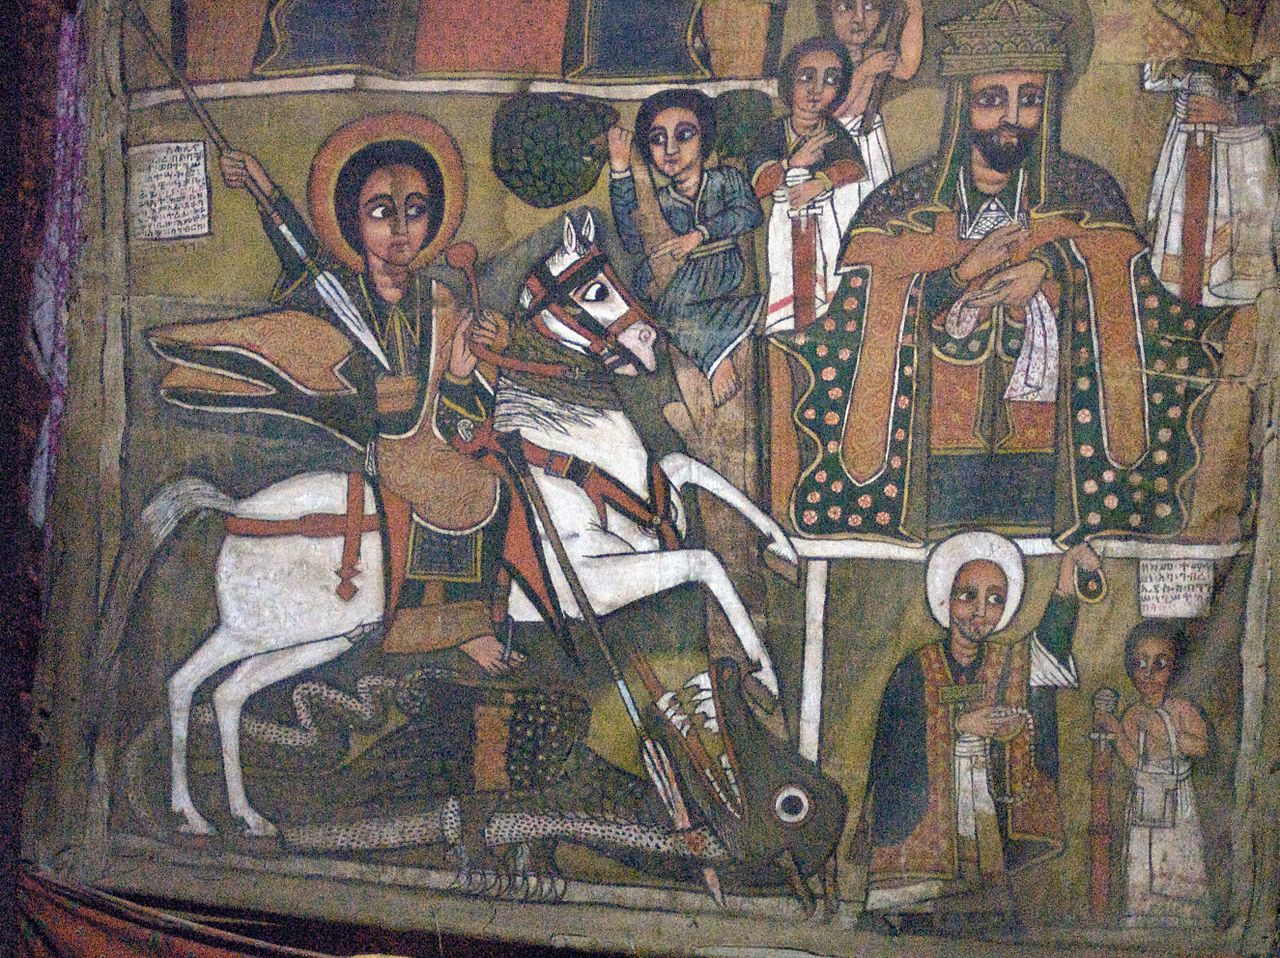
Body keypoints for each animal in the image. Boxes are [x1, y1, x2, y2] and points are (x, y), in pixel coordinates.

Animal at [102, 213, 788, 840]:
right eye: (593, 290)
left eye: (613, 276)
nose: (649, 340)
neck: (561, 451)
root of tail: (237, 511)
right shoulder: (586, 584)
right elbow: (703, 561)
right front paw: (765, 671)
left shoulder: (652, 517)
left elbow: (691, 470)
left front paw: (782, 543)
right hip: (250, 629)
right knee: (184, 683)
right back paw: (190, 813)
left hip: (318, 640)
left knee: (230, 695)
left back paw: (247, 815)